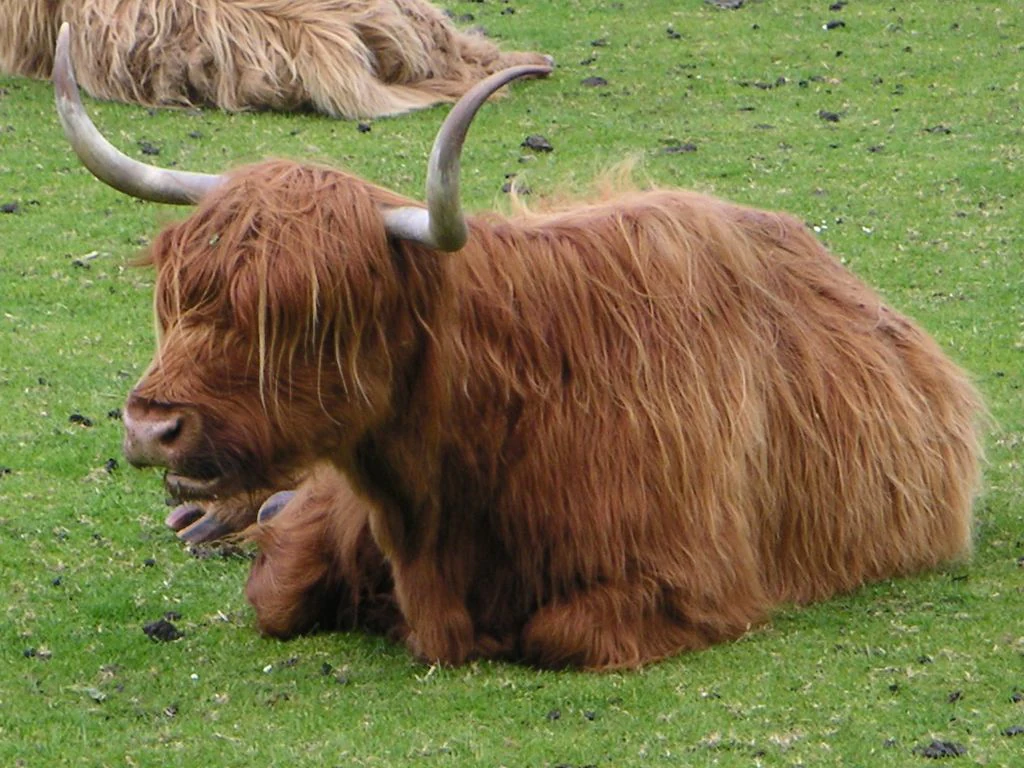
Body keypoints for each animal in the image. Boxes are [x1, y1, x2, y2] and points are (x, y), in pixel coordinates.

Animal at [53, 23, 983, 670]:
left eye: (306, 317)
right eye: (179, 299)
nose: (151, 427)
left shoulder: (691, 584)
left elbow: (557, 632)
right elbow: (275, 594)